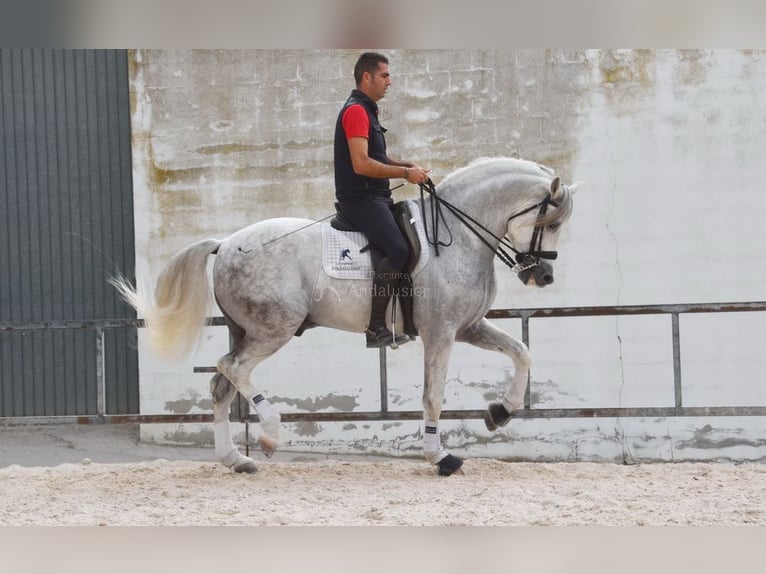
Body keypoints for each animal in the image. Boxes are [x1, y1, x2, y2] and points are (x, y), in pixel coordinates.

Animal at [112, 157, 576, 476]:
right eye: (551, 223)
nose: (544, 276)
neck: (458, 236)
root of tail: (225, 244)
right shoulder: (440, 332)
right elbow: (434, 396)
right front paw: (440, 457)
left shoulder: (468, 327)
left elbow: (522, 352)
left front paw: (500, 412)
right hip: (273, 328)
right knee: (234, 368)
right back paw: (269, 432)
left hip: (243, 329)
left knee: (221, 385)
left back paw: (235, 459)